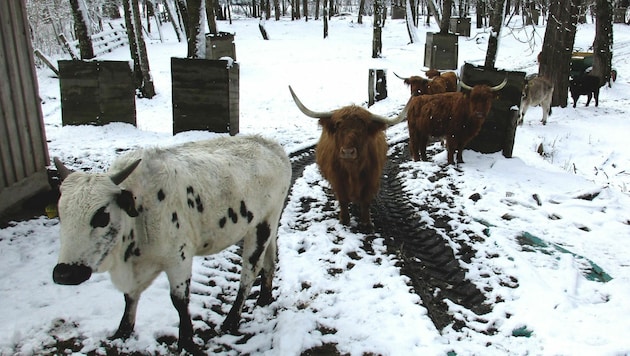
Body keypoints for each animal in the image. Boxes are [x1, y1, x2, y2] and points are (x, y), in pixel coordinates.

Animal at [53, 136, 292, 354]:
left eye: (101, 216)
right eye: (61, 213)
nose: (65, 273)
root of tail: (271, 145)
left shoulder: (179, 258)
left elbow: (179, 301)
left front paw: (186, 341)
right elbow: (129, 296)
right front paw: (123, 331)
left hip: (259, 227)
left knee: (250, 271)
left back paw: (231, 320)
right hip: (270, 223)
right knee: (270, 258)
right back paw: (264, 297)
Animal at [290, 85, 410, 232]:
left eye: (363, 127)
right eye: (338, 125)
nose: (348, 152)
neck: (352, 170)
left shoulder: (371, 179)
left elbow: (365, 201)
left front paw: (366, 223)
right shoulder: (337, 180)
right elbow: (343, 200)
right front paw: (344, 220)